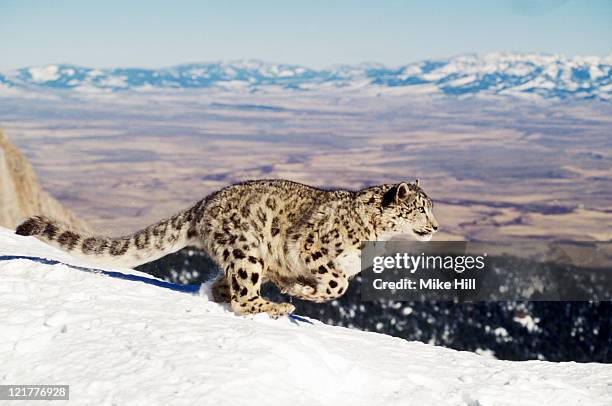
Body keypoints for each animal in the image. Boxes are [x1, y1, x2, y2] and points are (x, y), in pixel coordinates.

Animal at [16, 180, 438, 318]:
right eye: (420, 208)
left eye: (431, 208)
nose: (435, 226)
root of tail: (203, 204)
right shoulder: (314, 246)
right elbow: (337, 284)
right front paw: (301, 291)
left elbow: (337, 285)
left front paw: (297, 287)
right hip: (248, 252)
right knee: (243, 296)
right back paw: (277, 306)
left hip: (246, 257)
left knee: (226, 287)